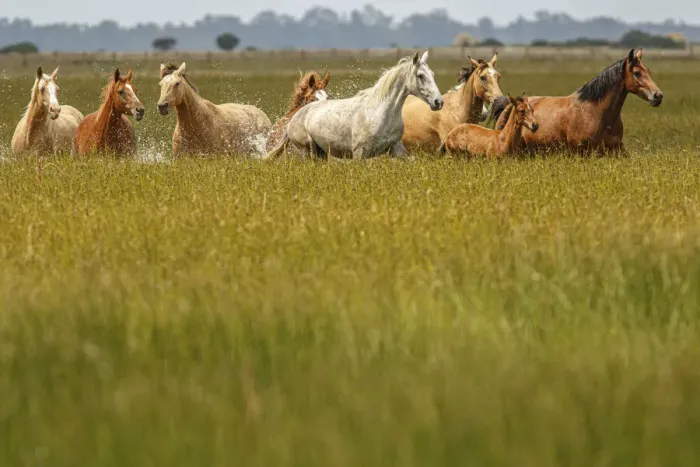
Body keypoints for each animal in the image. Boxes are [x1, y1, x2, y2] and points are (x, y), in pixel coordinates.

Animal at [264, 51, 443, 160]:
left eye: (433, 74)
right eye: (420, 75)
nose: (438, 102)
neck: (380, 113)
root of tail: (294, 118)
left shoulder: (397, 149)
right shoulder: (360, 153)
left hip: (321, 153)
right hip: (309, 151)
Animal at [493, 48, 663, 154]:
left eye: (648, 71)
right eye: (637, 73)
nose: (658, 96)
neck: (597, 112)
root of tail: (509, 105)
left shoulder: (617, 149)